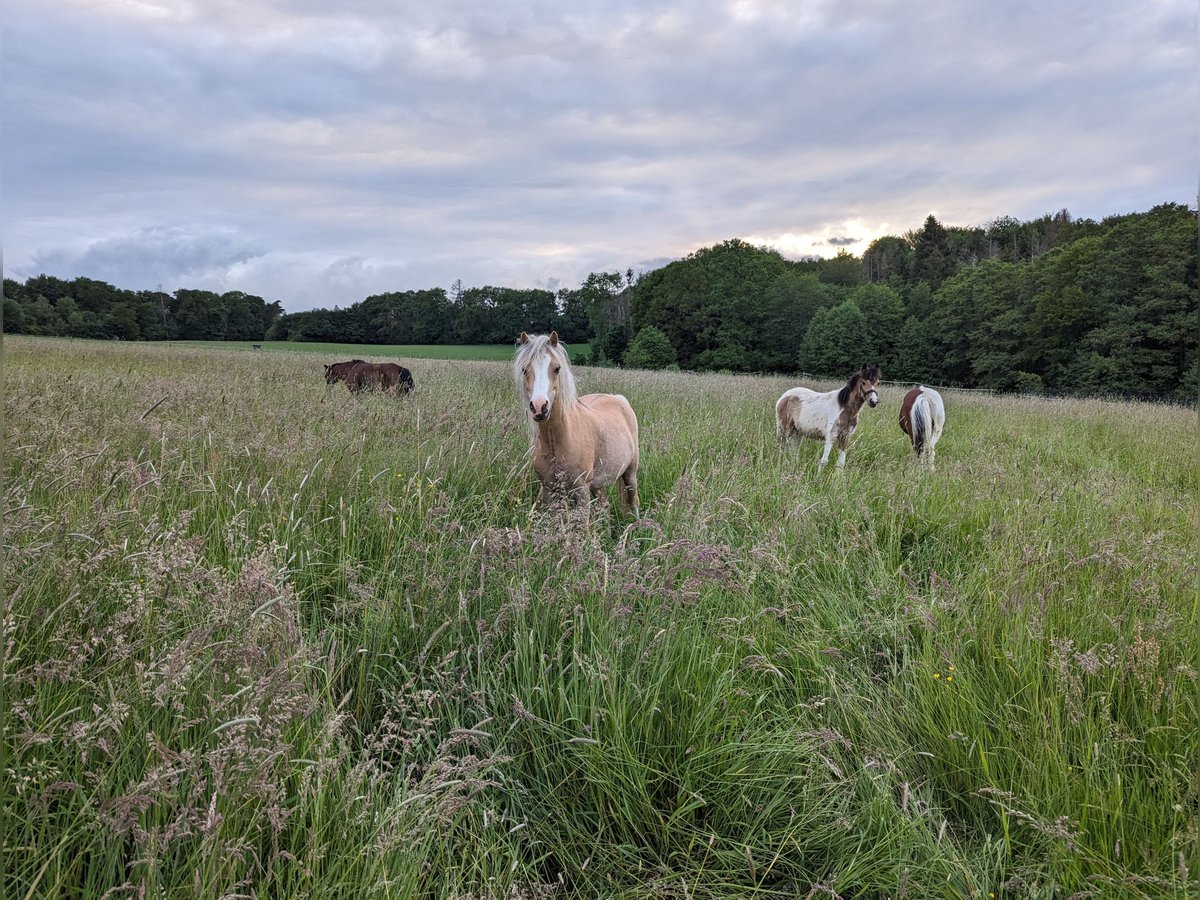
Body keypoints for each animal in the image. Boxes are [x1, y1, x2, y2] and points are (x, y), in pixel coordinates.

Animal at [518, 331, 648, 520]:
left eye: (557, 368)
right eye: (524, 369)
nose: (539, 407)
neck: (559, 440)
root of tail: (618, 398)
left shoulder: (582, 490)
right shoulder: (550, 490)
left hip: (630, 474)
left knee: (633, 502)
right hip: (597, 484)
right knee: (605, 505)